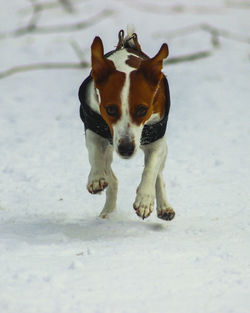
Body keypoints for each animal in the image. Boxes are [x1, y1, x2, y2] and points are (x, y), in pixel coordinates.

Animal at [79, 29, 175, 219]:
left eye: (142, 110)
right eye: (110, 109)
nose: (126, 149)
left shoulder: (156, 139)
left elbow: (151, 168)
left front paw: (145, 199)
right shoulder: (93, 127)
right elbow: (95, 152)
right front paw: (96, 177)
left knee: (159, 174)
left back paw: (164, 206)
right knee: (112, 178)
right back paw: (107, 212)